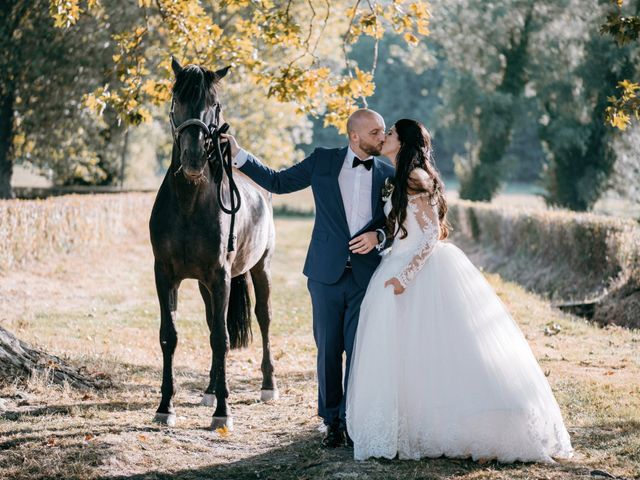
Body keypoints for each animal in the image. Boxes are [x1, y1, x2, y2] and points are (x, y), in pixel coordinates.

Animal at [150, 57, 280, 432]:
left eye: (214, 103)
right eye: (177, 99)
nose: (193, 158)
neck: (189, 203)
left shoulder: (221, 276)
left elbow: (221, 339)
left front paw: (223, 411)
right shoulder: (165, 275)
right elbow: (170, 335)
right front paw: (165, 407)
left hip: (260, 269)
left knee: (263, 318)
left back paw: (268, 386)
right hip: (205, 285)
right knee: (211, 321)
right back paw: (209, 389)